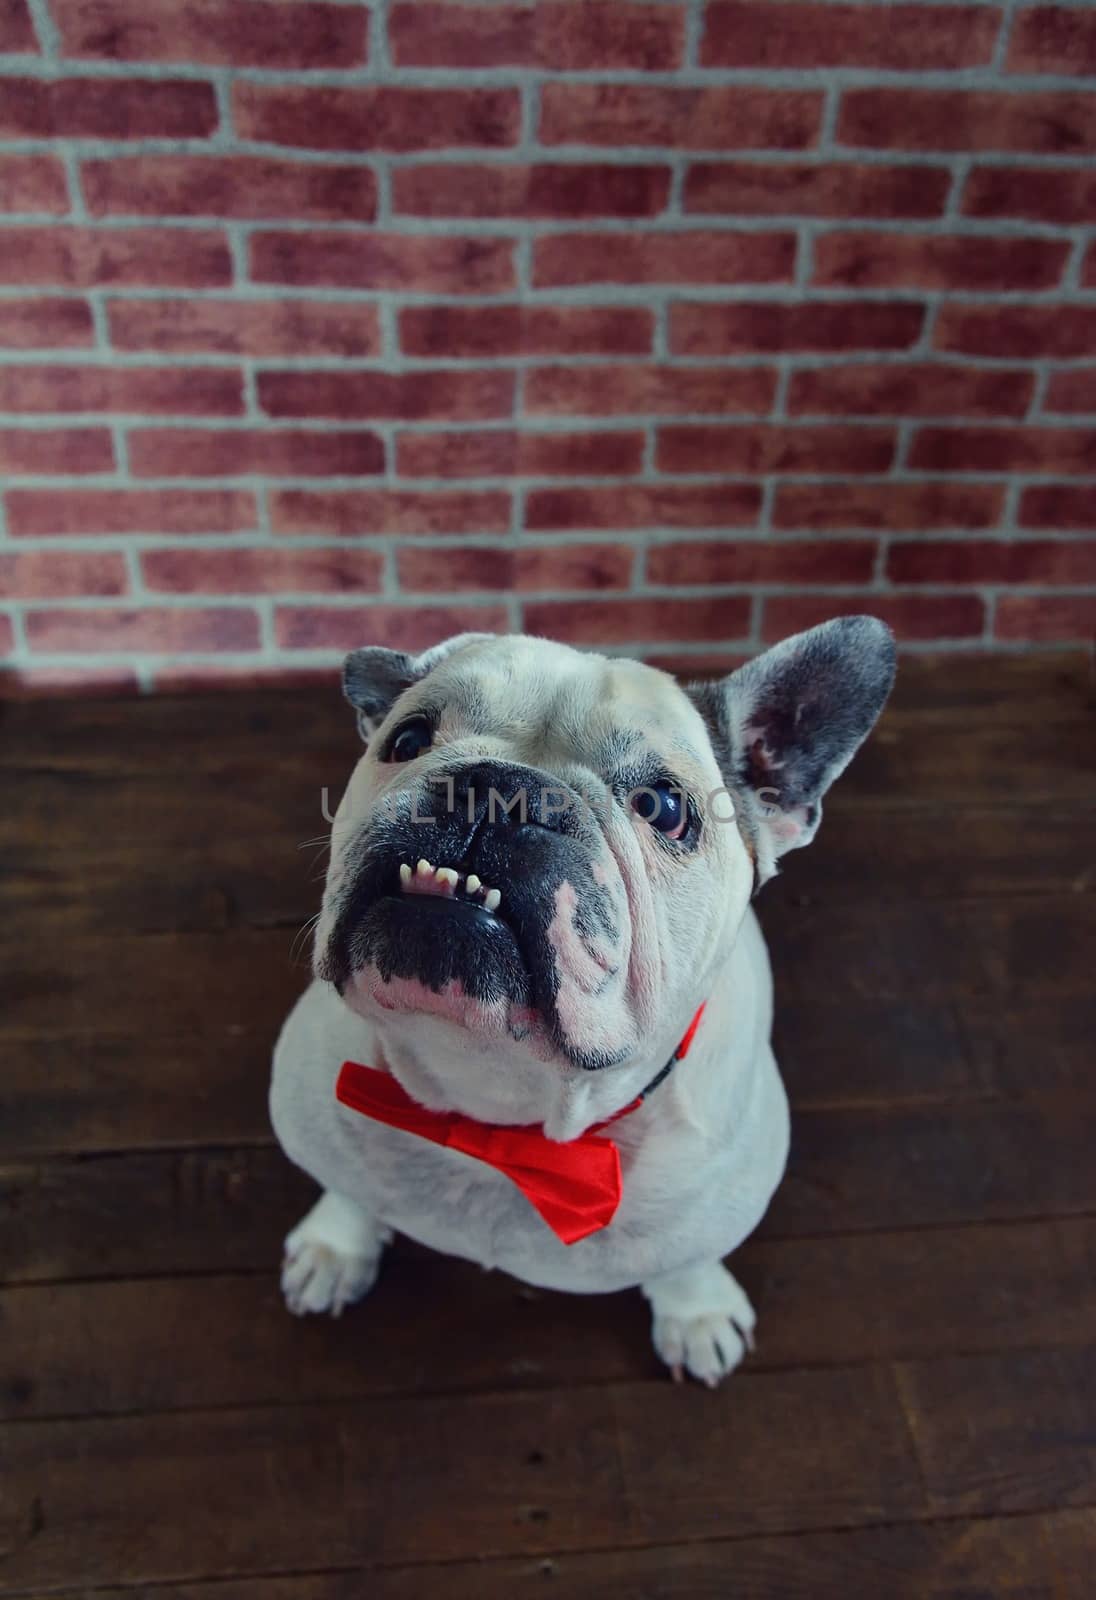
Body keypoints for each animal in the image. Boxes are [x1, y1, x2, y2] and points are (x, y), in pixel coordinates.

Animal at [268, 617, 896, 1382]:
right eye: (409, 740)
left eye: (665, 809)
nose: (499, 786)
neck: (503, 1108)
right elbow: (351, 1188)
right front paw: (337, 1246)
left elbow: (688, 1258)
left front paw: (696, 1311)